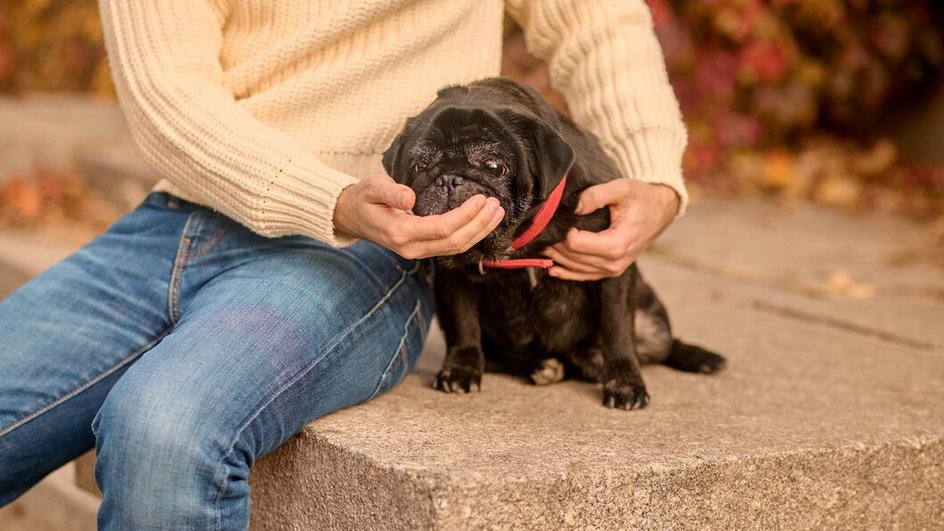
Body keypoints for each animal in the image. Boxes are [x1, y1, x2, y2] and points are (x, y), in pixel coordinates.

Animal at [380, 80, 728, 412]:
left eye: (494, 166)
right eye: (418, 166)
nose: (449, 179)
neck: (521, 239)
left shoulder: (611, 265)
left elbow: (617, 330)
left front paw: (626, 383)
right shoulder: (453, 278)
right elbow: (463, 325)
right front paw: (460, 370)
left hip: (651, 323)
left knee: (659, 344)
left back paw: (698, 357)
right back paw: (545, 366)